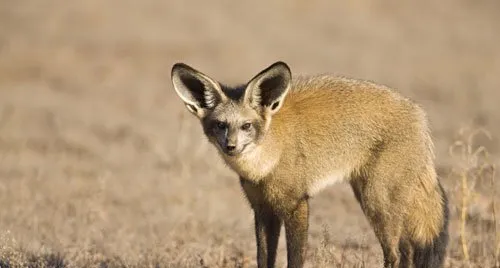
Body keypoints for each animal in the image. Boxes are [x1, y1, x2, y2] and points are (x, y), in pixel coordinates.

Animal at [171, 61, 450, 268]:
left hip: (377, 202)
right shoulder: (263, 209)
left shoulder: (297, 205)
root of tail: (419, 113)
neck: (266, 165)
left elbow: (295, 259)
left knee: (397, 254)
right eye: (220, 125)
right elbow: (265, 259)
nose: (230, 147)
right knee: (406, 250)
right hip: (373, 199)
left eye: (246, 126)